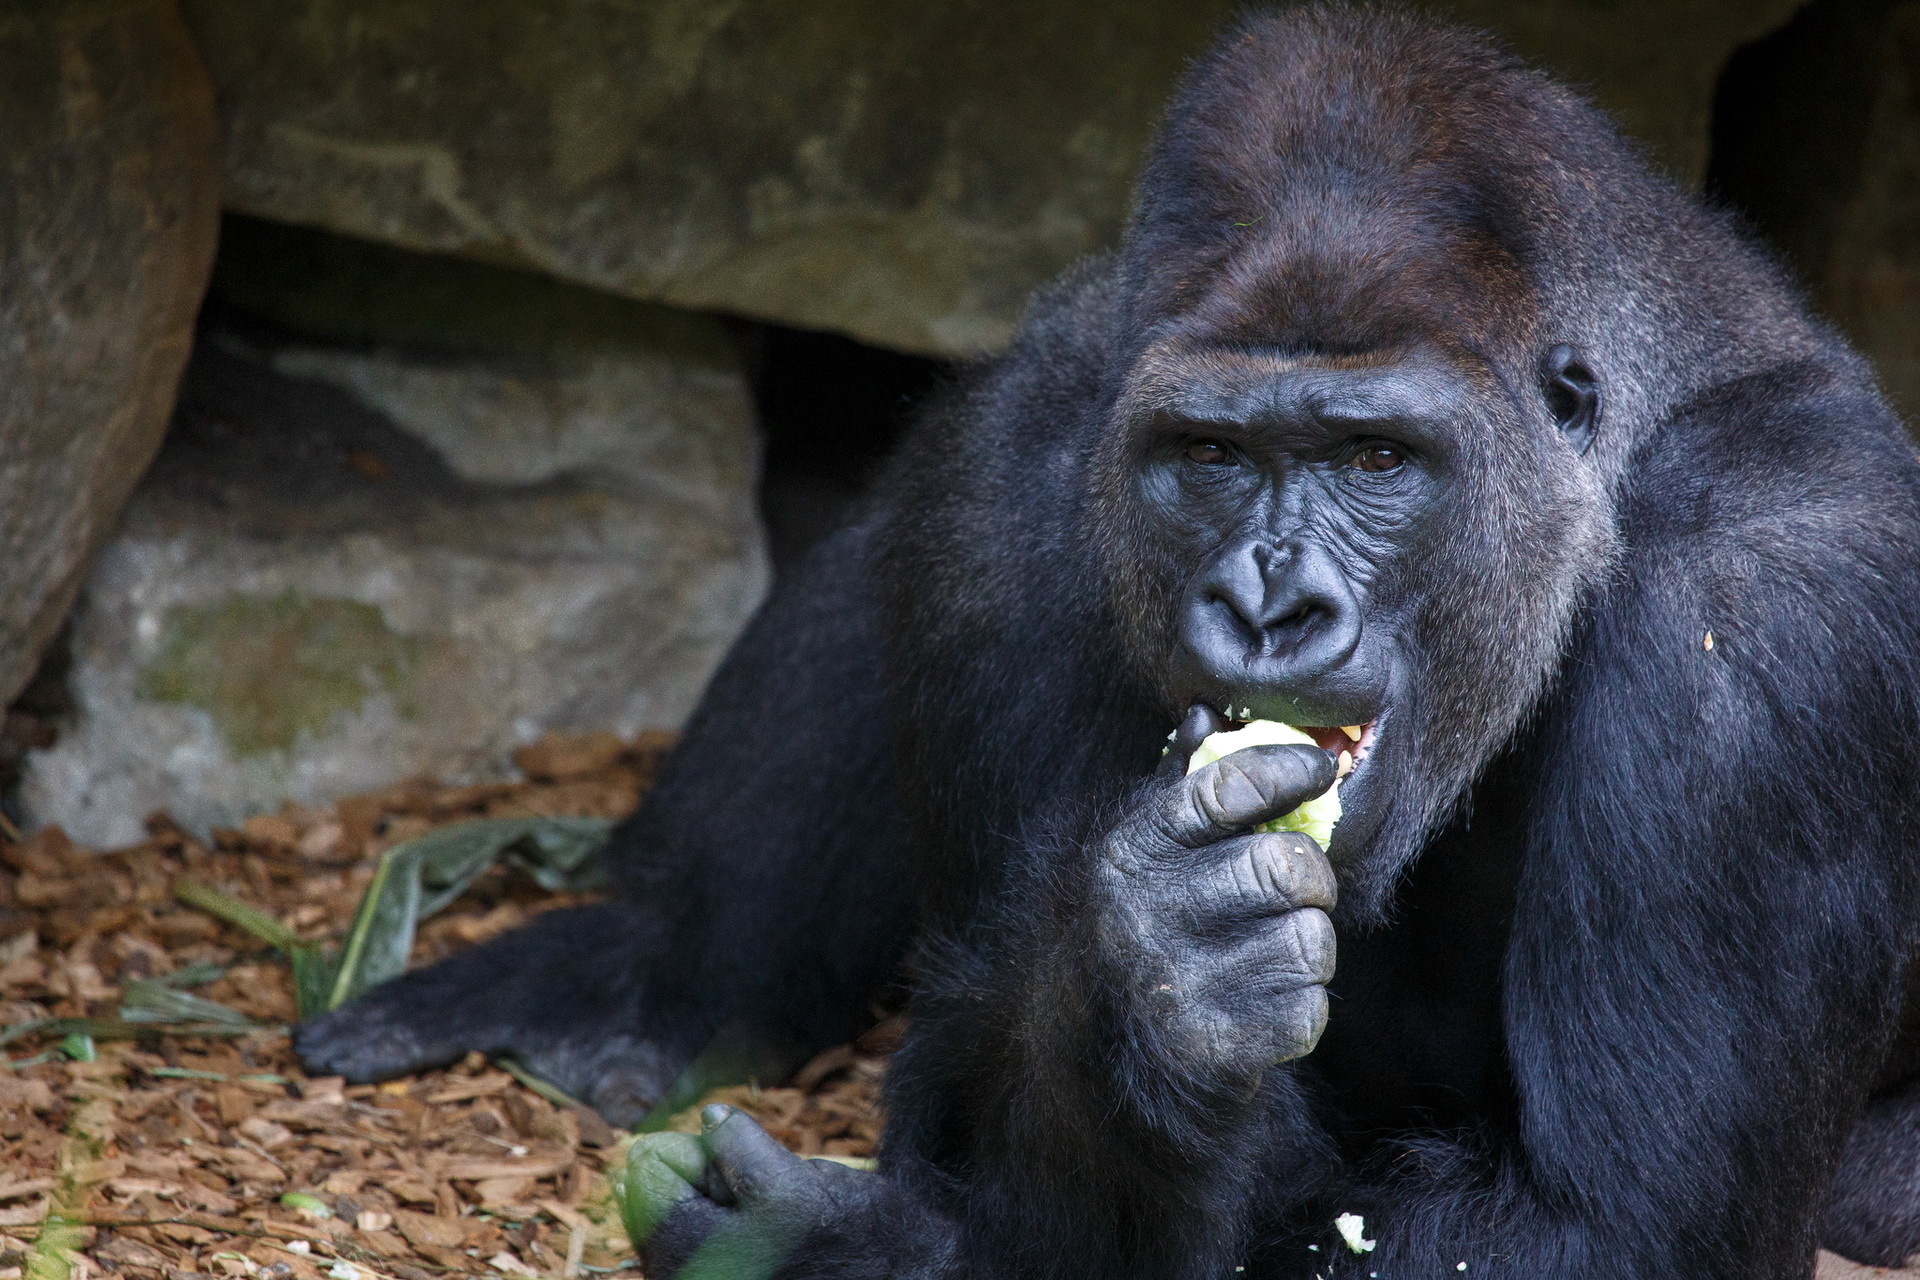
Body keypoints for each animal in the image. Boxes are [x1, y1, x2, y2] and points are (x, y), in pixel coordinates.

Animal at [288, 10, 1920, 1280]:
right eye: (1209, 454)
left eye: (1377, 458)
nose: (1269, 607)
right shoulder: (1004, 491)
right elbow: (967, 1090)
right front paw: (1151, 999)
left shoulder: (1775, 626)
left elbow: (1610, 1226)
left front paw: (867, 1245)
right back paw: (659, 967)